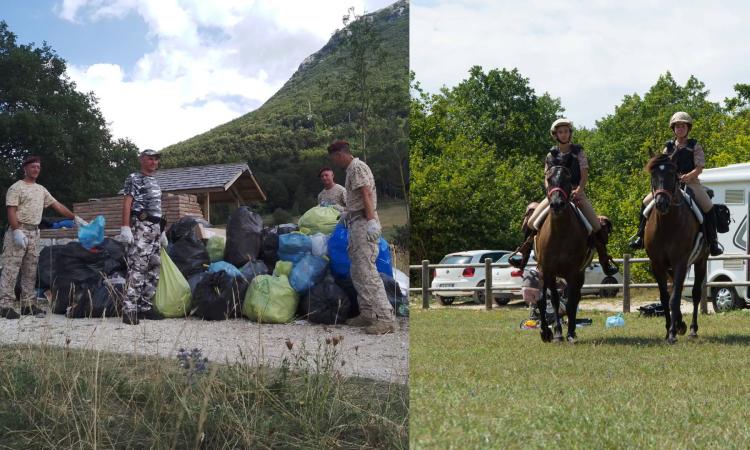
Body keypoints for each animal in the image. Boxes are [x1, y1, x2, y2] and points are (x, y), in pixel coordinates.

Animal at [536, 156, 596, 342]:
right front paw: (552, 331)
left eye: (568, 179)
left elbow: (570, 302)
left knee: (575, 299)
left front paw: (569, 333)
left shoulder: (573, 272)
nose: (557, 204)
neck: (560, 234)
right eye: (549, 179)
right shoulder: (547, 271)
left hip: (579, 275)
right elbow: (550, 300)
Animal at [648, 153, 712, 342]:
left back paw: (692, 329)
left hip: (700, 262)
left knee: (696, 294)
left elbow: (674, 298)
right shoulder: (658, 265)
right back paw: (680, 324)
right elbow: (665, 298)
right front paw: (671, 328)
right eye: (653, 175)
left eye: (672, 174)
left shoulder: (680, 263)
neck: (666, 225)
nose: (661, 203)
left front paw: (672, 333)